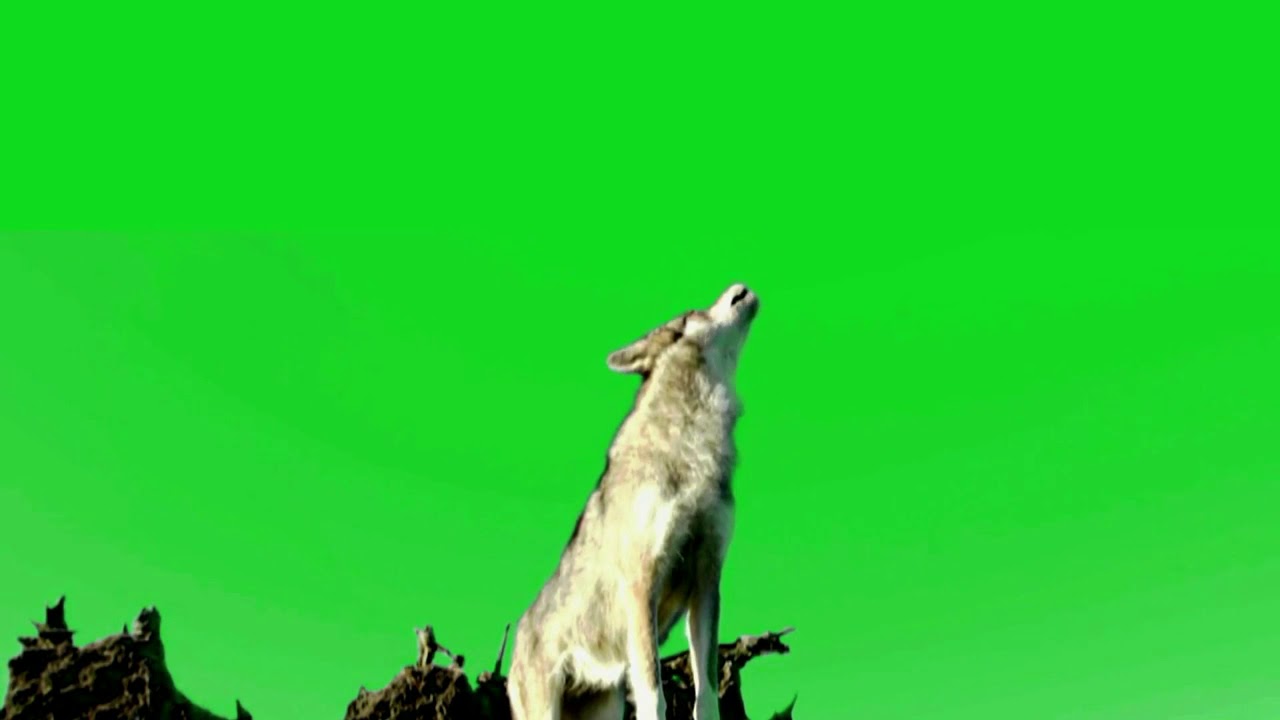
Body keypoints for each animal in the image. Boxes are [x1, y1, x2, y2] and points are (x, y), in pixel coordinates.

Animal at [507, 283, 761, 720]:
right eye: (690, 316)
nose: (739, 288)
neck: (692, 446)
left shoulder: (707, 581)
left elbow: (707, 694)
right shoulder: (642, 582)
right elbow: (653, 692)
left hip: (606, 705)